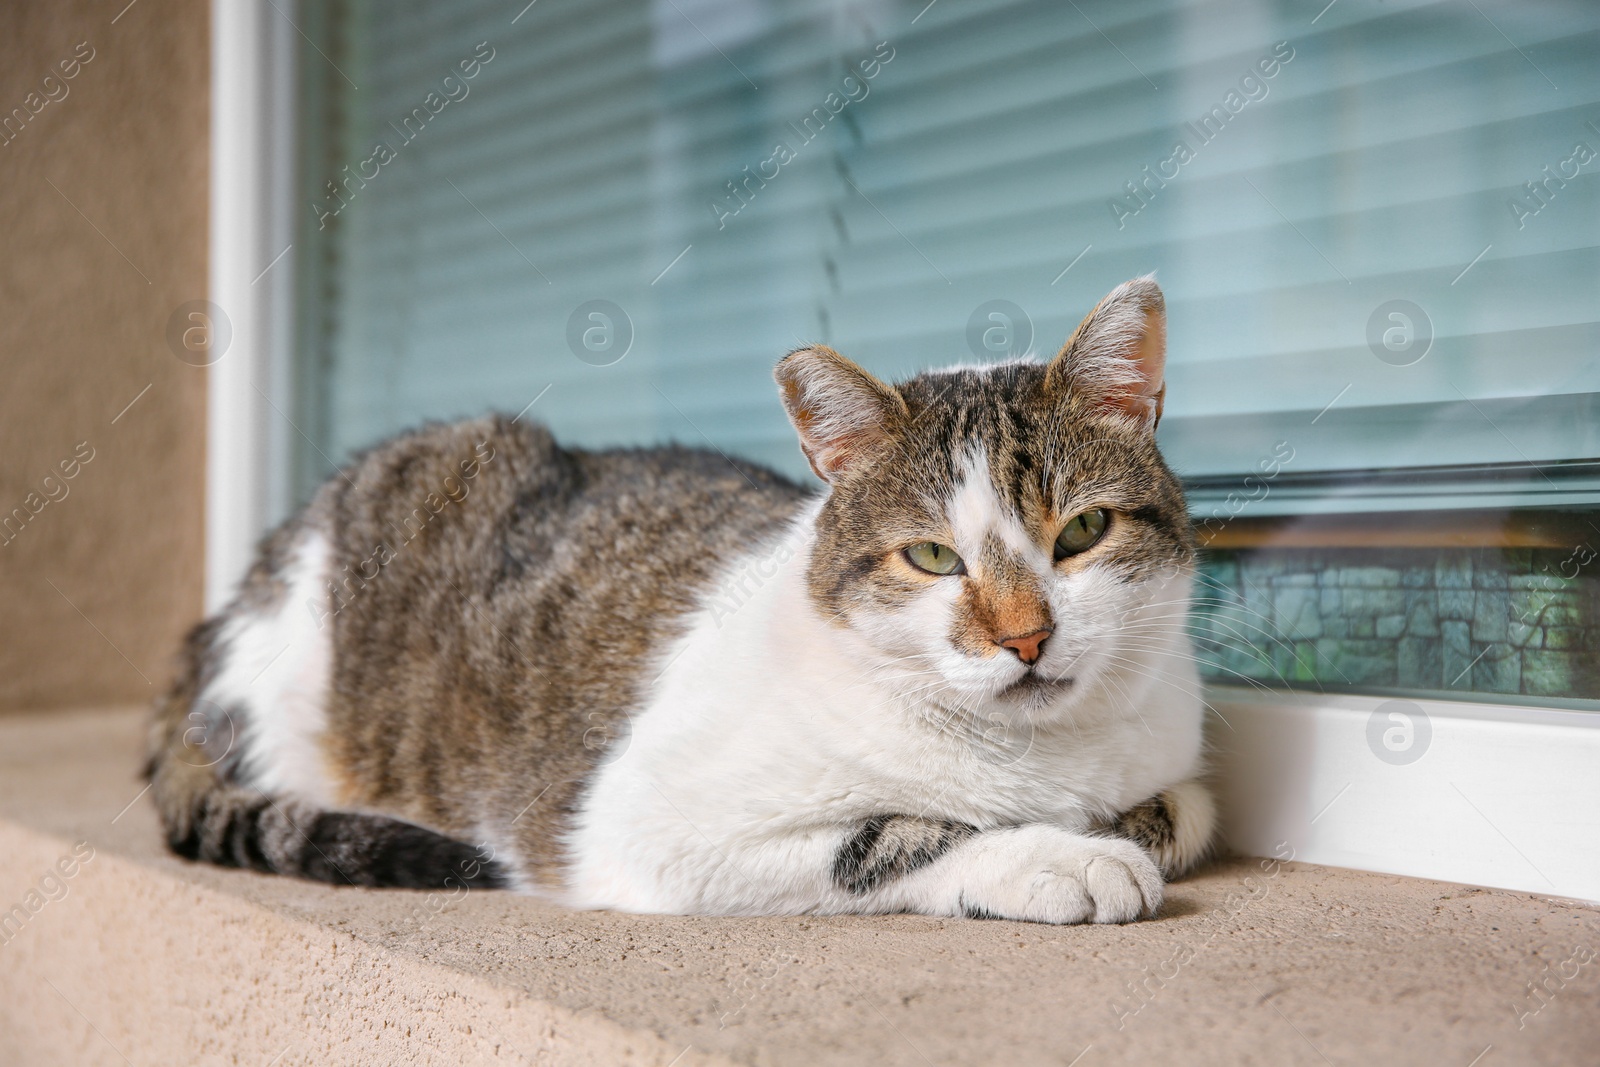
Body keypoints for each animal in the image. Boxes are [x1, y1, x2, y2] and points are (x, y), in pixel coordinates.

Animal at [150, 278, 1216, 927]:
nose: (1026, 637)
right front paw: (1059, 858)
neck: (1038, 756)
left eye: (1082, 532)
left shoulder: (1177, 768)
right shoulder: (645, 827)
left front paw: (1105, 830)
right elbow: (889, 835)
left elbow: (1182, 810)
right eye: (930, 556)